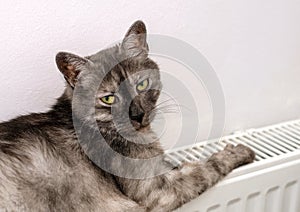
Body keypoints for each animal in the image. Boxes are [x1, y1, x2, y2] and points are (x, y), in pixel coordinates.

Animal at [0, 20, 255, 212]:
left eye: (141, 85)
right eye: (109, 99)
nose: (138, 115)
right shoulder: (159, 190)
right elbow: (205, 168)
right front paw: (238, 151)